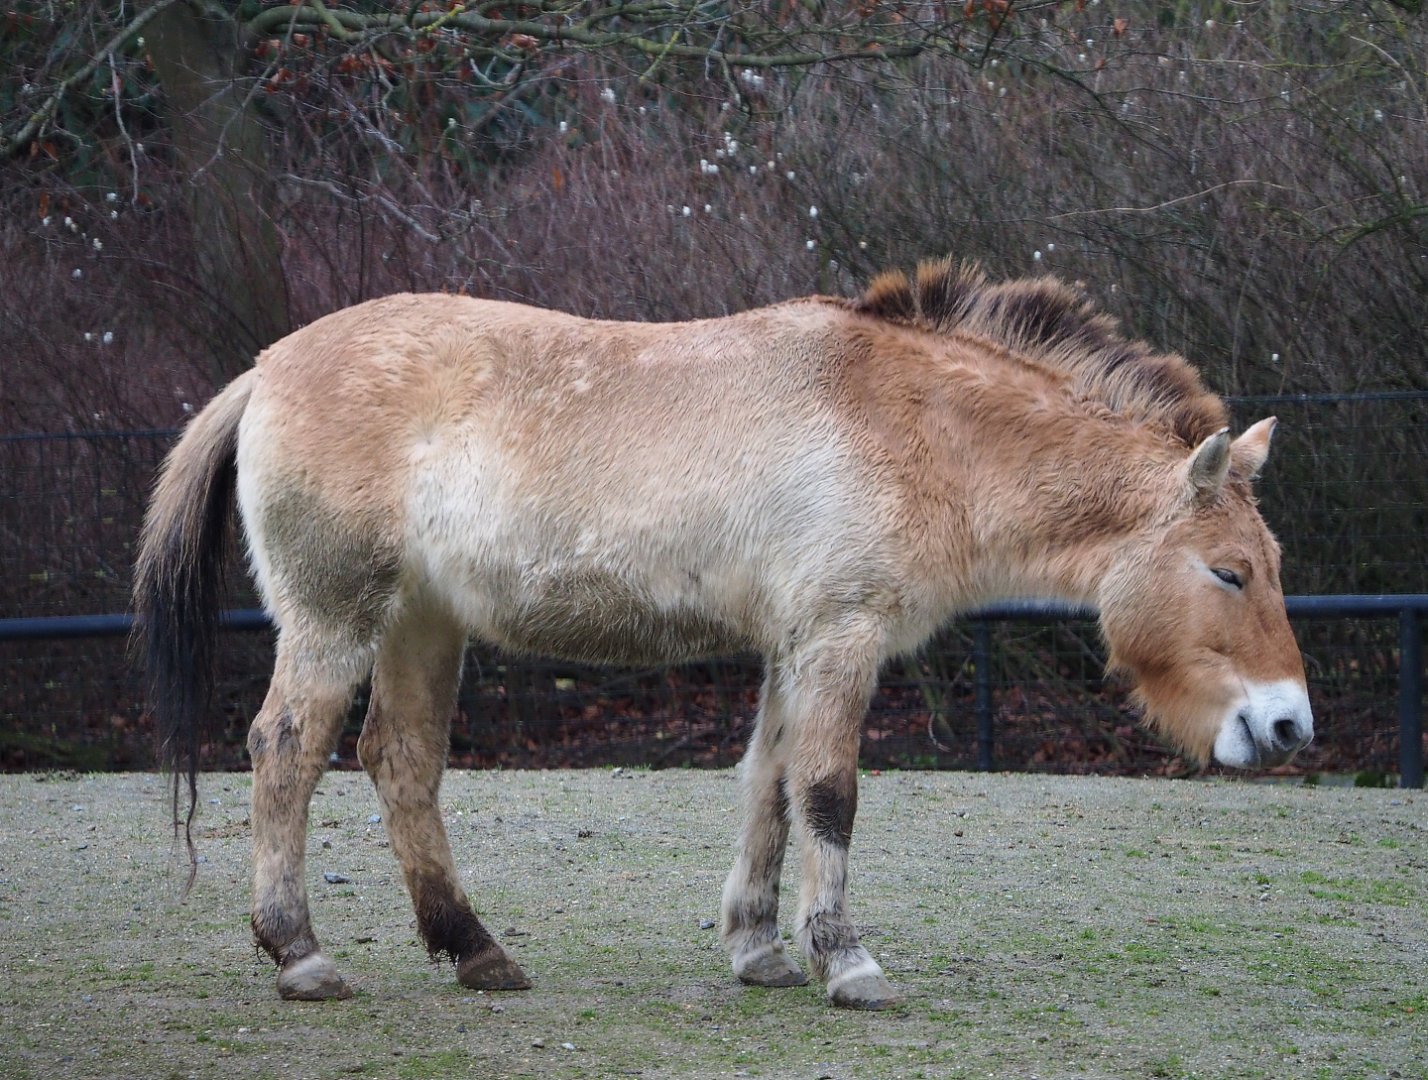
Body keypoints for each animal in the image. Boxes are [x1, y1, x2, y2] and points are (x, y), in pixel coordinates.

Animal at [133, 259, 1312, 1010]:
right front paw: (848, 965)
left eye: (1269, 565)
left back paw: (476, 950)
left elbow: (769, 790)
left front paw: (760, 952)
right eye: (1229, 570)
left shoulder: (796, 648)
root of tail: (267, 369)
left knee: (401, 762)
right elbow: (828, 795)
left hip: (421, 625)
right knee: (286, 752)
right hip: (334, 620)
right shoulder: (839, 639)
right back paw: (301, 957)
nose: (1289, 725)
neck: (914, 424)